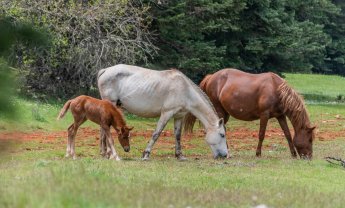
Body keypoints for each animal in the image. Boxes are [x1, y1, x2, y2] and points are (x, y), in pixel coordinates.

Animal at [97, 63, 228, 159]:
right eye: (222, 134)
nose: (225, 155)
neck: (185, 90)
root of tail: (105, 70)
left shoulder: (179, 116)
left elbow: (178, 136)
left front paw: (179, 155)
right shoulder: (166, 113)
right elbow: (156, 133)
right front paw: (146, 154)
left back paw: (104, 153)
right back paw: (107, 153)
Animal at [185, 69, 314, 158]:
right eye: (310, 139)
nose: (308, 157)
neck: (276, 88)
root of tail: (210, 77)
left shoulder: (280, 116)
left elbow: (287, 134)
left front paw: (293, 154)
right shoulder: (264, 115)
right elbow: (261, 134)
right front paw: (258, 153)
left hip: (225, 113)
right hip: (219, 110)